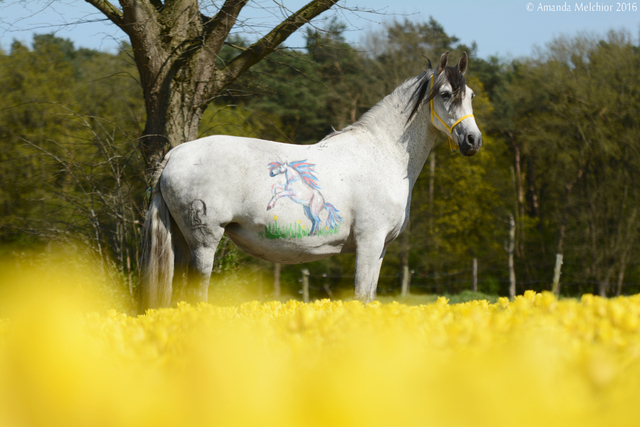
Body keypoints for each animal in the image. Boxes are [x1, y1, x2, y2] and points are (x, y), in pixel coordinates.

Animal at [139, 51, 480, 312]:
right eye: (446, 94)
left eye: (471, 96)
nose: (473, 140)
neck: (383, 153)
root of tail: (174, 155)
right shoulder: (369, 242)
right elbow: (361, 297)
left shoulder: (380, 248)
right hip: (204, 242)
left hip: (182, 242)